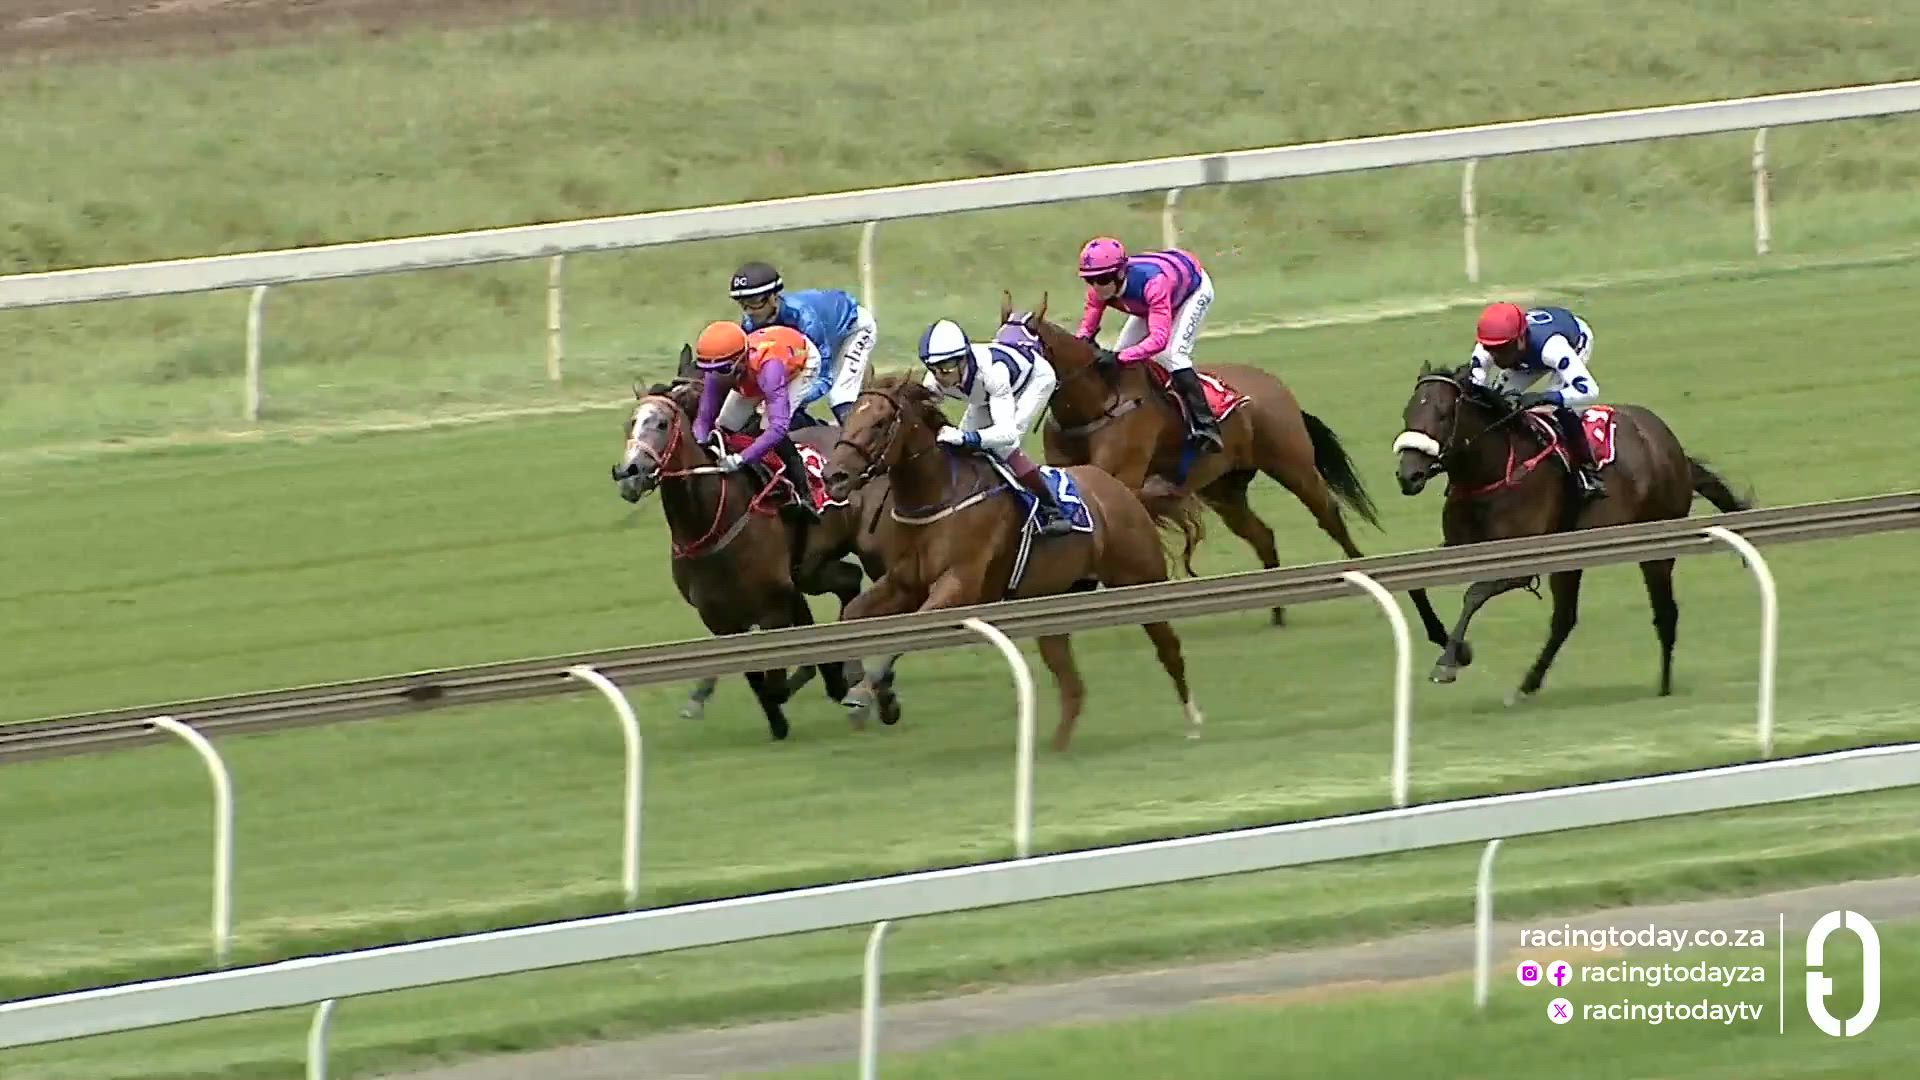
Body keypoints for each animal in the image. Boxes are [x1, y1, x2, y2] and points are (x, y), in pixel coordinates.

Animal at [611, 363, 904, 739]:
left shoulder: (773, 607)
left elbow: (776, 680)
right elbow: (756, 678)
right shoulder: (719, 618)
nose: (628, 474)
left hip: (874, 556)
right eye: (629, 423)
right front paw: (779, 718)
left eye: (661, 424)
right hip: (811, 570)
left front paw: (833, 683)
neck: (711, 522)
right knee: (849, 582)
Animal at [820, 372, 1206, 751]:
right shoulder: (903, 584)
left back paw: (1193, 720)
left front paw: (867, 693)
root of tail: (1123, 490)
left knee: (1169, 649)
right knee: (1072, 684)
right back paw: (1056, 749)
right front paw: (862, 686)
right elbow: (852, 615)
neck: (939, 497)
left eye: (880, 422)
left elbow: (911, 630)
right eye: (849, 416)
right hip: (1053, 605)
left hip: (1140, 580)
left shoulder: (958, 586)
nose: (834, 476)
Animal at [1003, 292, 1463, 660]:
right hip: (1223, 490)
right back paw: (1276, 609)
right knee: (1263, 536)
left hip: (1293, 465)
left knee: (1329, 516)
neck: (1097, 403)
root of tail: (1272, 384)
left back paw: (1367, 578)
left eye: (1023, 351)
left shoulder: (1122, 475)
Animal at [1392, 361, 1752, 701]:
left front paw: (1448, 661)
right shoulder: (1458, 548)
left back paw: (1663, 686)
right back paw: (1527, 686)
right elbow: (1417, 588)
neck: (1493, 471)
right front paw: (1454, 647)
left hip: (1656, 548)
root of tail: (1672, 449)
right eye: (1407, 412)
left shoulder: (1521, 563)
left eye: (1442, 415)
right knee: (1564, 620)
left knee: (1665, 613)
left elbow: (1474, 594)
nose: (1408, 476)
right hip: (1571, 560)